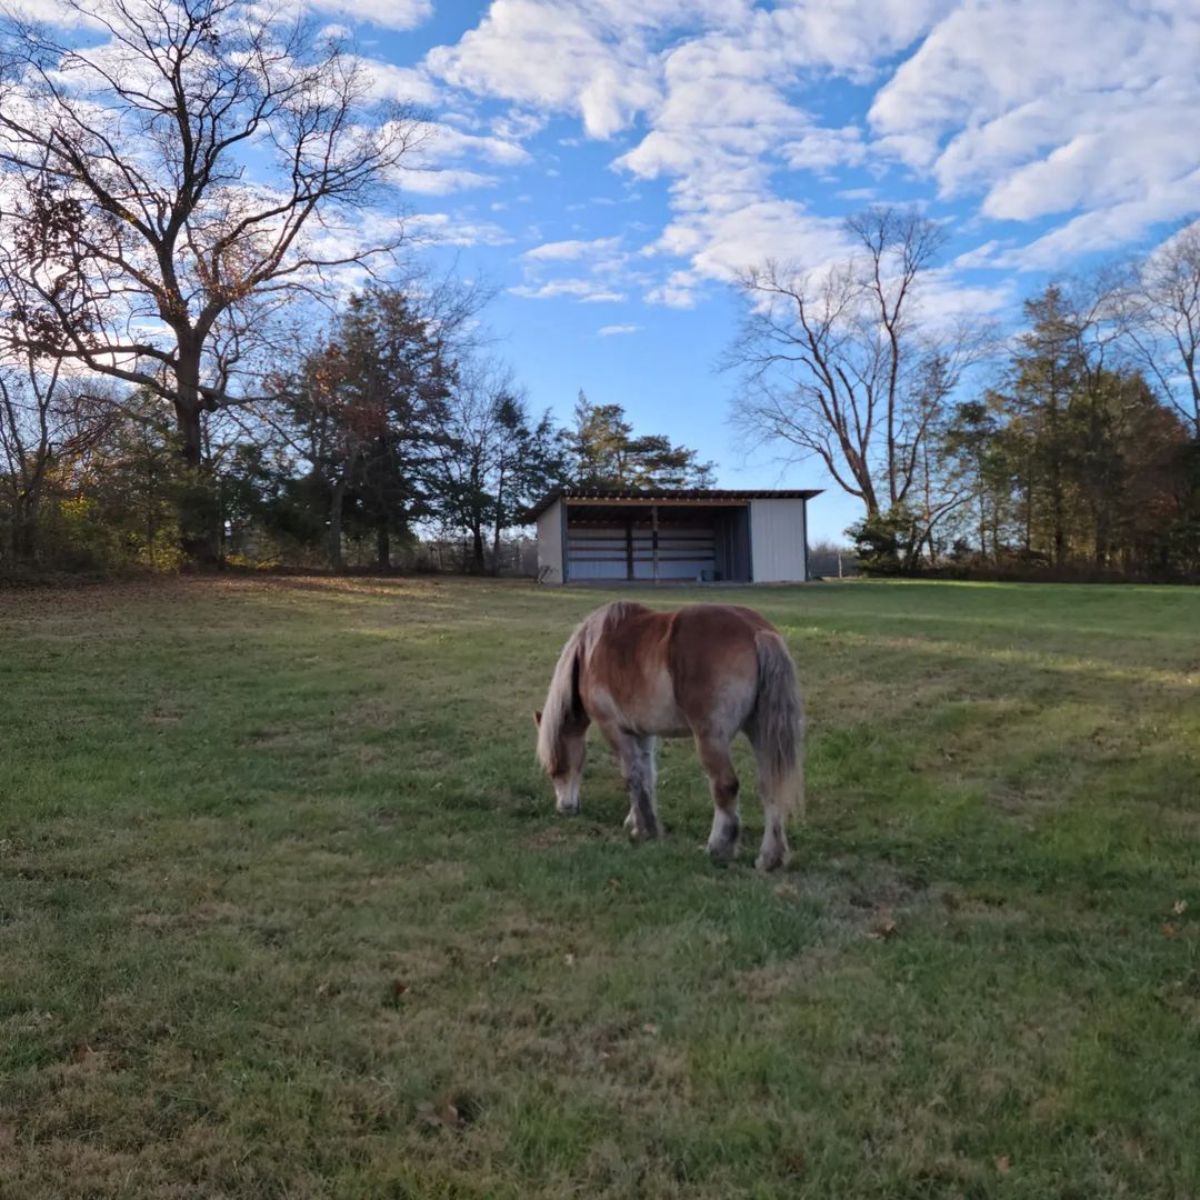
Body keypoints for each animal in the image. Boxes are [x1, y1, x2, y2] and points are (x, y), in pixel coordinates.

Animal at [537, 600, 806, 873]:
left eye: (554, 769)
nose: (564, 808)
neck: (589, 652)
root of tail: (755, 631)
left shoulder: (614, 728)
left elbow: (631, 776)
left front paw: (644, 830)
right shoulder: (642, 733)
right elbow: (646, 776)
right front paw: (637, 820)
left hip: (711, 739)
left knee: (725, 785)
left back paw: (718, 849)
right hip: (761, 732)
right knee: (770, 785)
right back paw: (770, 858)